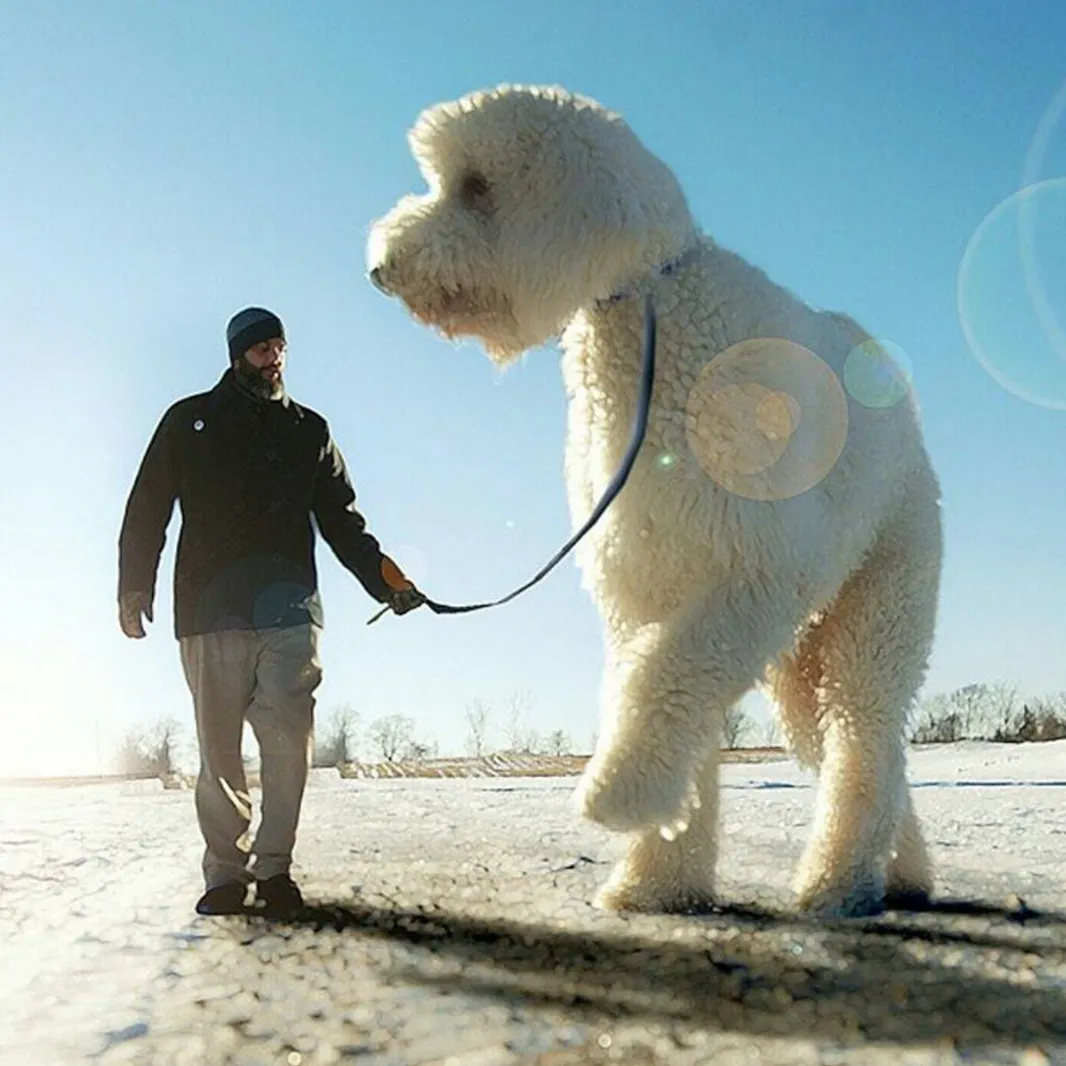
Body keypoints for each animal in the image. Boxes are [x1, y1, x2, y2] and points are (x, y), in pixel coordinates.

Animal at [366, 85, 942, 916]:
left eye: (476, 187)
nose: (380, 268)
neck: (651, 304)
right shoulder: (645, 580)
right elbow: (661, 687)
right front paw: (658, 883)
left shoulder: (752, 572)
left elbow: (664, 679)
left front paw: (620, 798)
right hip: (802, 659)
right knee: (857, 745)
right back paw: (901, 872)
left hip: (882, 600)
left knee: (864, 734)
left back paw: (839, 882)